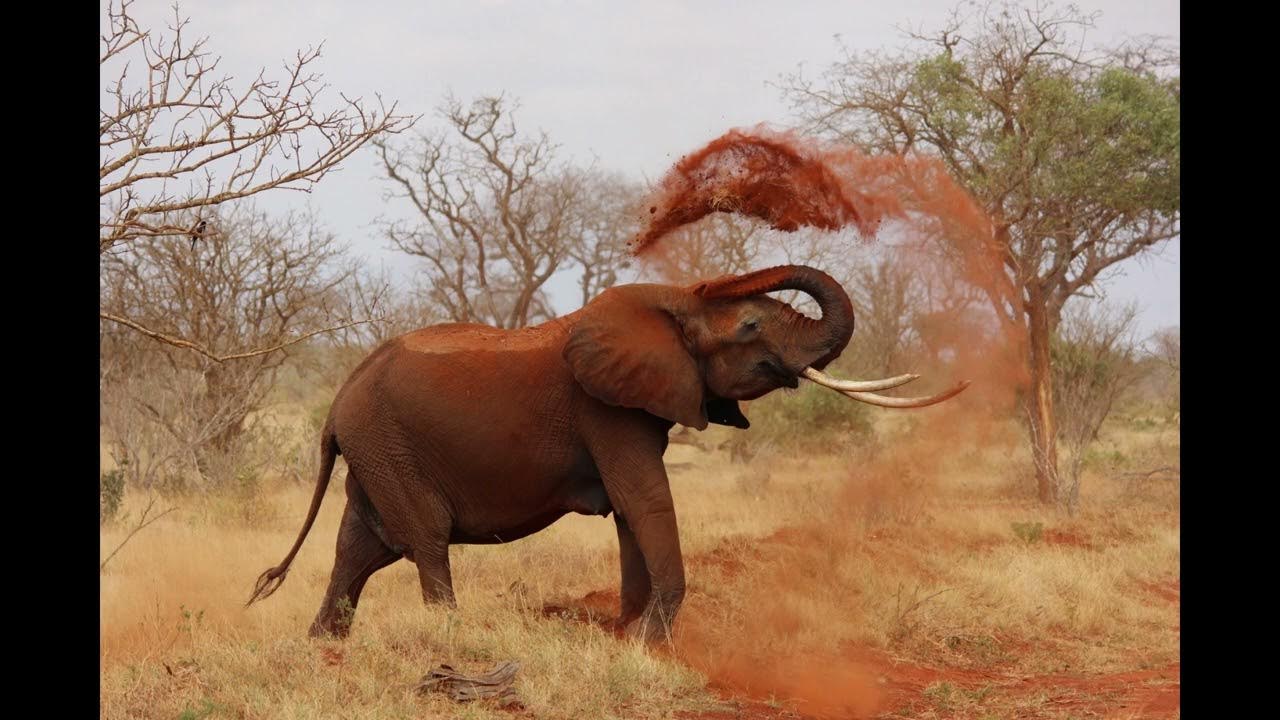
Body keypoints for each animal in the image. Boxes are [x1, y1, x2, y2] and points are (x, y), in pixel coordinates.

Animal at [246, 265, 966, 642]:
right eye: (751, 325)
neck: (671, 302)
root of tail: (337, 402)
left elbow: (629, 511)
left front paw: (627, 632)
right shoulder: (606, 409)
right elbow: (644, 499)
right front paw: (649, 642)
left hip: (375, 451)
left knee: (360, 547)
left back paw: (324, 648)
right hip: (388, 445)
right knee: (422, 539)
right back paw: (450, 637)